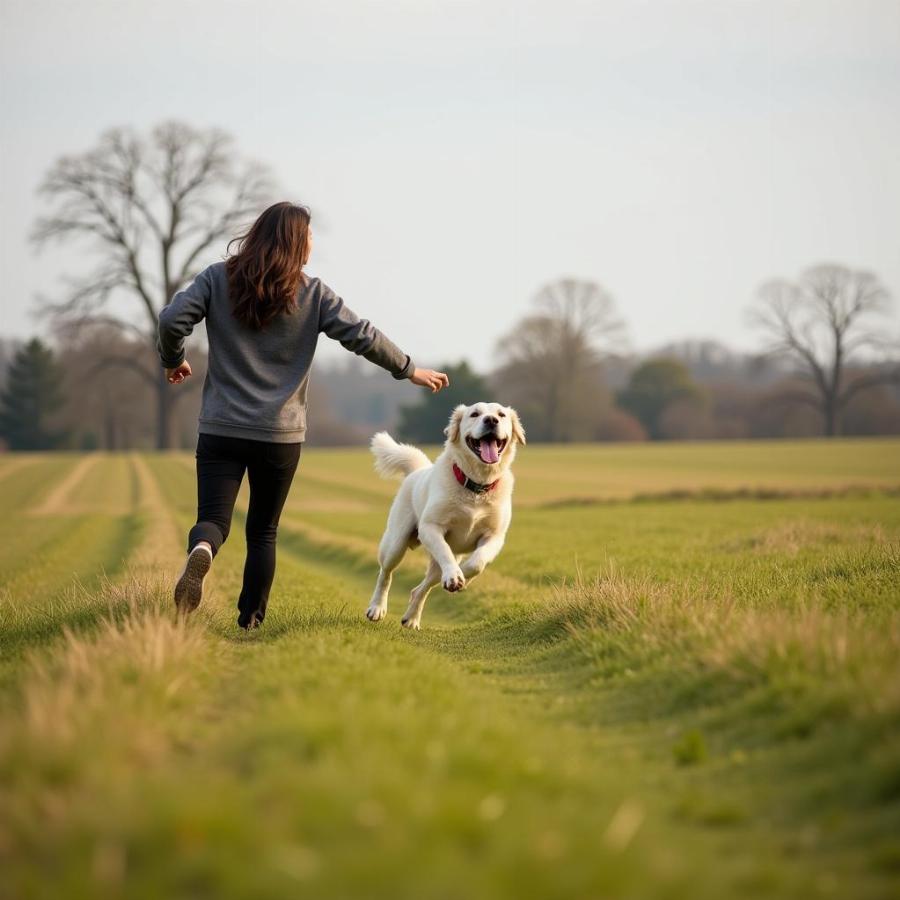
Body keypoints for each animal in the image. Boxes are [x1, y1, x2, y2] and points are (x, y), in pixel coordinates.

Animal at [364, 404, 524, 628]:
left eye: (501, 414)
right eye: (474, 414)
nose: (491, 420)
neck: (477, 487)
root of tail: (418, 470)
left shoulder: (494, 537)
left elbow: (477, 562)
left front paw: (462, 577)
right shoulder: (431, 527)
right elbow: (446, 555)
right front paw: (455, 576)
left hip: (434, 564)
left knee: (420, 589)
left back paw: (411, 619)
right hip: (395, 544)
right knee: (385, 574)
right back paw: (377, 609)